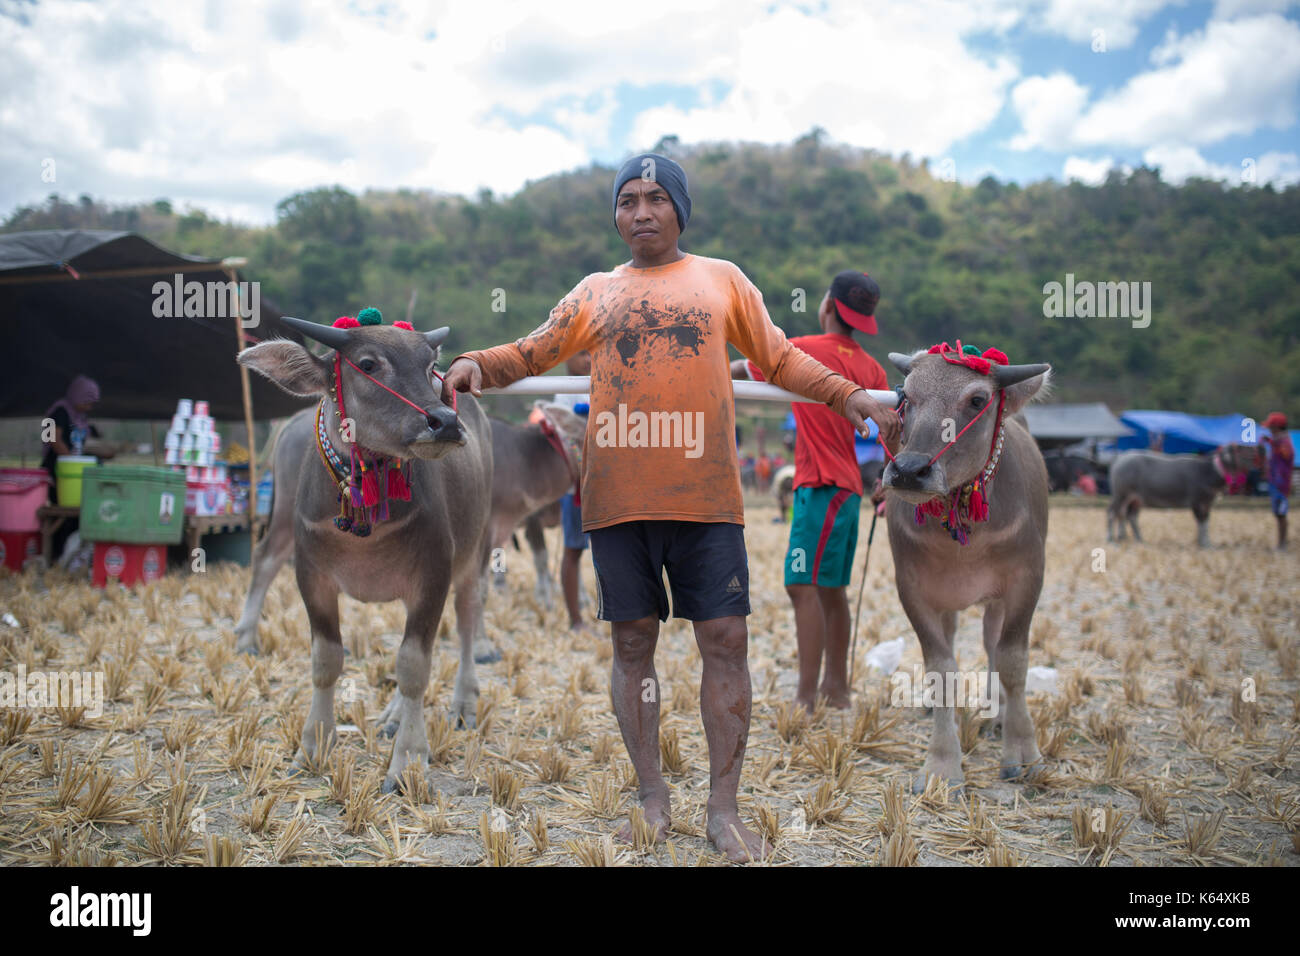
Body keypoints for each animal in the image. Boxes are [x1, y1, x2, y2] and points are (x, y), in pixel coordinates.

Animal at [233, 316, 491, 790]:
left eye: (430, 367)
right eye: (369, 364)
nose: (445, 421)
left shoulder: (434, 573)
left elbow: (414, 666)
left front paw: (408, 759)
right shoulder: (311, 574)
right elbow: (326, 659)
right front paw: (313, 744)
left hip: (474, 554)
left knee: (466, 622)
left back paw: (463, 700)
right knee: (264, 558)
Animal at [878, 348, 1050, 796]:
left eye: (976, 400)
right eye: (906, 396)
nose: (908, 470)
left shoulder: (1027, 579)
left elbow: (1012, 661)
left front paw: (1023, 752)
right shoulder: (912, 588)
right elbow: (942, 668)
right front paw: (942, 763)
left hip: (996, 602)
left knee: (991, 645)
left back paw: (998, 714)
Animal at [1107, 447, 1258, 548]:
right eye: (1244, 452)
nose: (1257, 465)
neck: (1208, 471)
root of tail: (1120, 459)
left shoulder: (1207, 503)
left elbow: (1206, 522)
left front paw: (1206, 542)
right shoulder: (1196, 501)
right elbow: (1201, 522)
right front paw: (1203, 544)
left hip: (1136, 499)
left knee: (1129, 516)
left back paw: (1137, 539)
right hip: (1121, 494)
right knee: (1113, 513)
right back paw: (1111, 539)